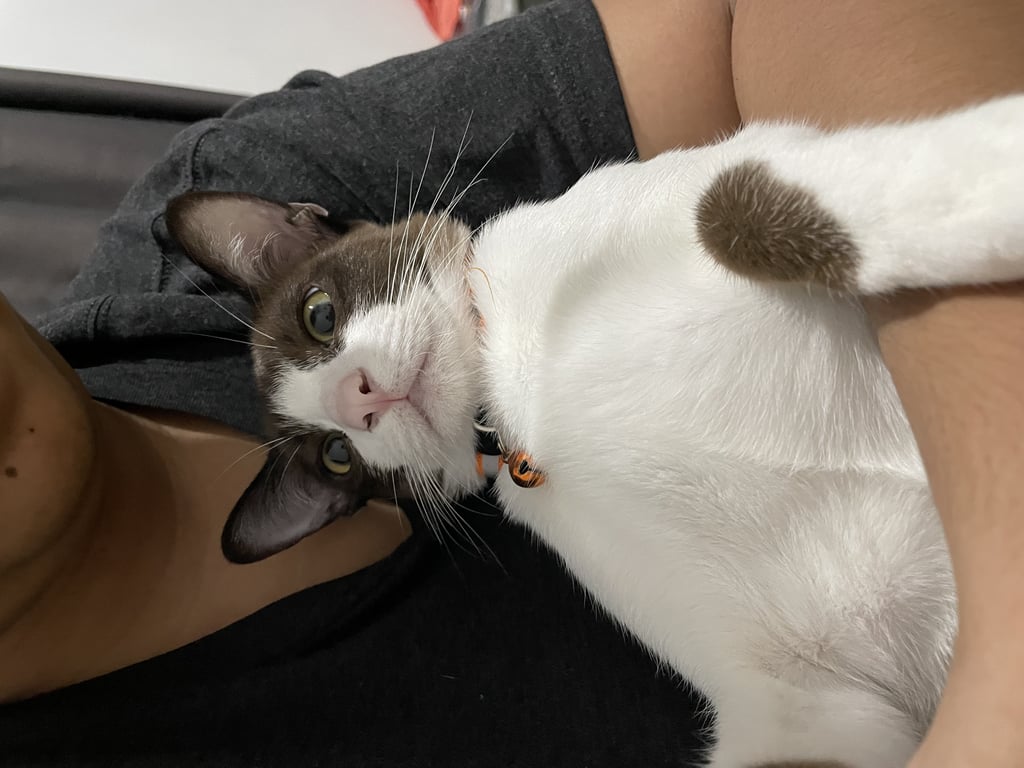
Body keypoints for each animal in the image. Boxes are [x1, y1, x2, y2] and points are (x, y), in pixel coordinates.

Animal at [165, 92, 1024, 768]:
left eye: (320, 314)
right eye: (338, 457)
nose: (356, 399)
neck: (511, 381)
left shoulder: (722, 174)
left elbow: (732, 204)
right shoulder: (803, 702)